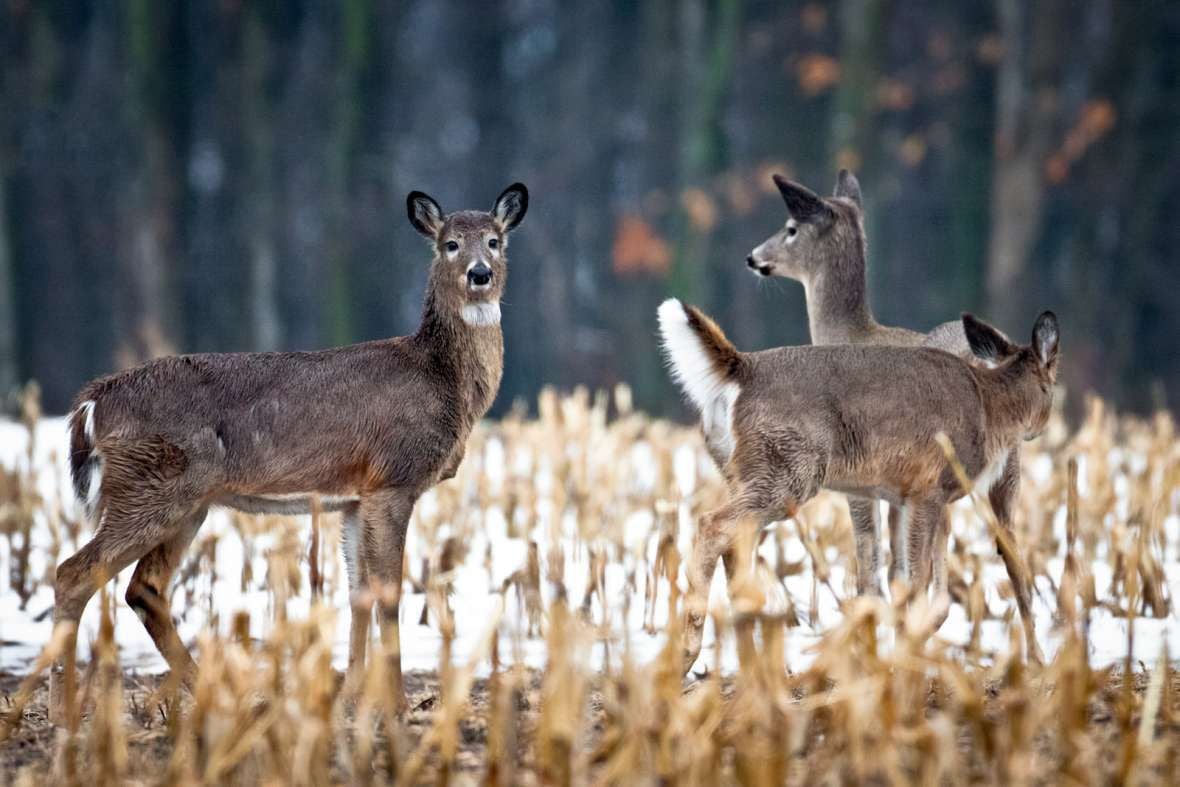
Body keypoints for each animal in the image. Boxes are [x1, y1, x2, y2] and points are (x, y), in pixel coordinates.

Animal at [51, 181, 531, 722]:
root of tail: (91, 404)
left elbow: (358, 594)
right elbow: (389, 592)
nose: (479, 273)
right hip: (150, 486)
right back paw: (61, 708)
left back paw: (216, 697)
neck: (440, 378)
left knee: (144, 589)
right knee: (75, 573)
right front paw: (399, 705)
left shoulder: (356, 495)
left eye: (494, 241)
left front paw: (351, 697)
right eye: (449, 244)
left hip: (186, 501)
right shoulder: (394, 478)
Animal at [660, 298, 1057, 674]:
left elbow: (929, 587)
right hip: (788, 469)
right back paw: (688, 654)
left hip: (744, 471)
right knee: (712, 525)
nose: (1040, 429)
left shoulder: (919, 495)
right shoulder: (927, 489)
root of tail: (741, 367)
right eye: (1052, 381)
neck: (990, 410)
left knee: (735, 545)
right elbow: (916, 580)